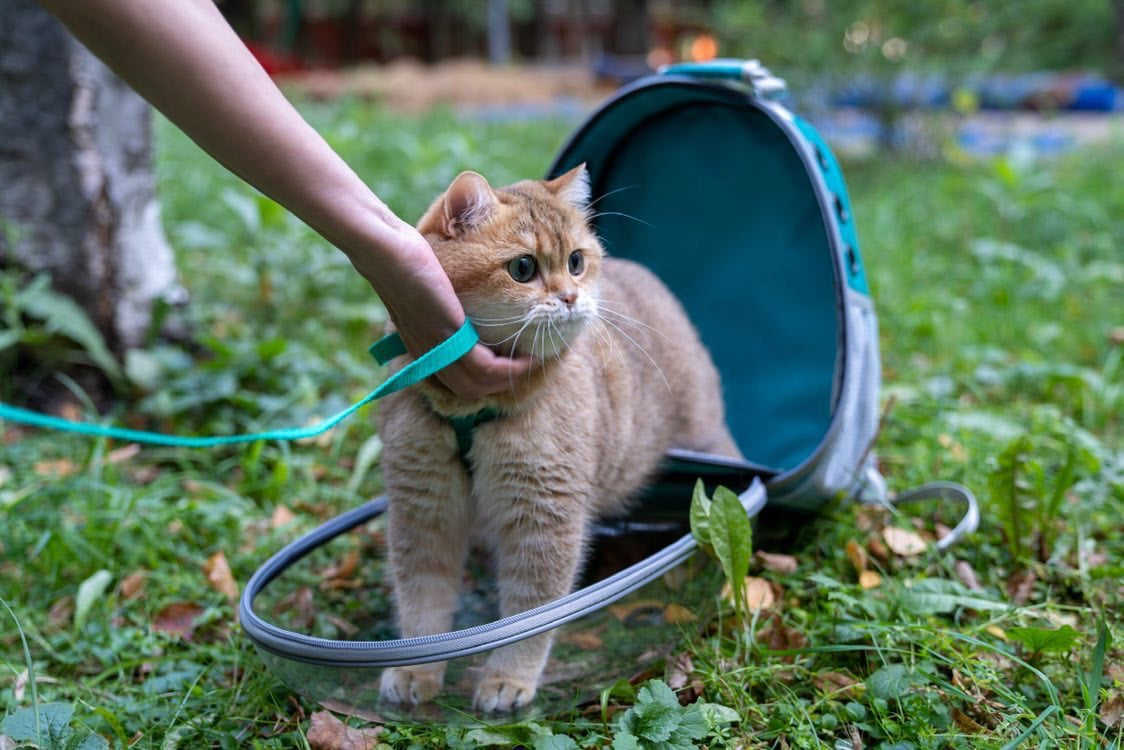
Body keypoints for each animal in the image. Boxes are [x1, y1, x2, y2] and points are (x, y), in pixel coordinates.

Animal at [377, 167, 741, 715]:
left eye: (576, 262)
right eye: (523, 268)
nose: (571, 297)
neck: (471, 413)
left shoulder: (543, 516)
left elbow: (529, 614)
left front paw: (508, 678)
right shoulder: (424, 508)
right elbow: (422, 602)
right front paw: (416, 668)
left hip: (706, 438)